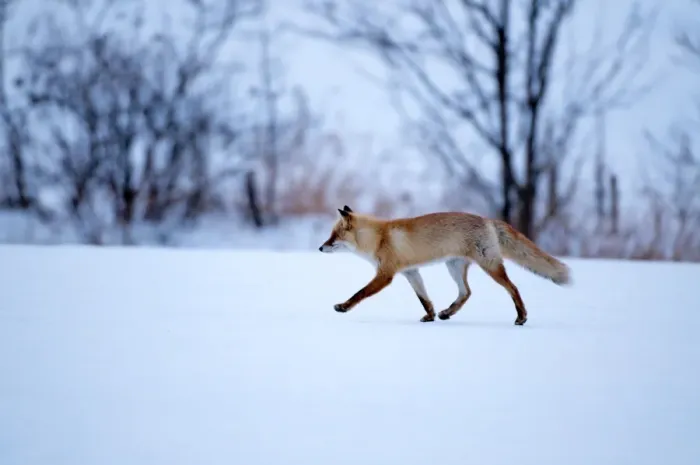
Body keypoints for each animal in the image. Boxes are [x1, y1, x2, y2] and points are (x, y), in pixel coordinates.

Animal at [318, 205, 571, 325]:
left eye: (333, 236)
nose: (320, 248)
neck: (379, 238)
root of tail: (487, 220)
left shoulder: (385, 274)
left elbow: (360, 293)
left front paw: (343, 307)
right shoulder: (411, 272)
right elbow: (424, 299)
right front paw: (430, 316)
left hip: (489, 265)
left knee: (513, 288)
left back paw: (521, 317)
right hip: (454, 267)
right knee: (466, 292)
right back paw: (448, 313)